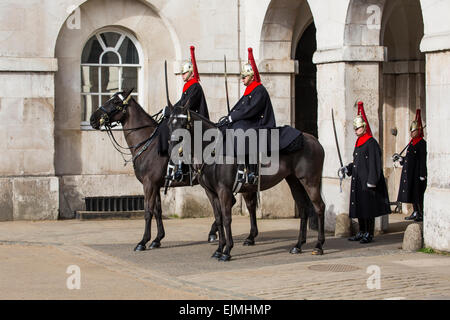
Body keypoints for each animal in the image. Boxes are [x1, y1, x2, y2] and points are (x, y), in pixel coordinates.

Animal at [89, 89, 260, 251]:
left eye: (115, 102)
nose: (92, 119)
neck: (147, 144)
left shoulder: (149, 184)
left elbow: (148, 211)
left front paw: (143, 241)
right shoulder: (155, 185)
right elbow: (157, 210)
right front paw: (157, 239)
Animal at [167, 104, 326, 262]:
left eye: (183, 124)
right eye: (169, 124)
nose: (171, 149)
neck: (214, 151)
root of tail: (314, 140)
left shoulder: (224, 191)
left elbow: (226, 219)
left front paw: (227, 251)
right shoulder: (211, 193)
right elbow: (218, 219)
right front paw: (219, 249)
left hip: (310, 182)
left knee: (319, 207)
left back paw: (318, 245)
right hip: (294, 181)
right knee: (303, 208)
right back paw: (298, 245)